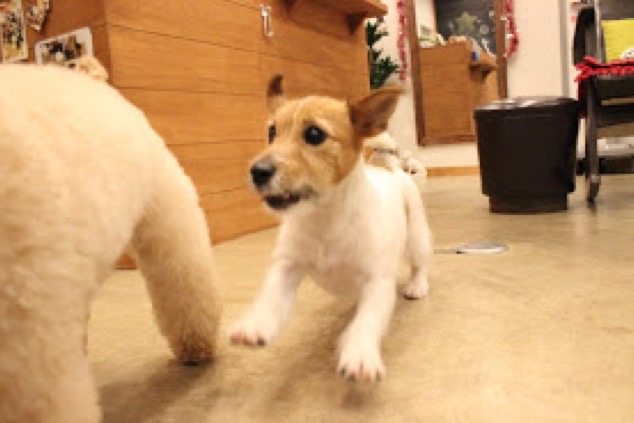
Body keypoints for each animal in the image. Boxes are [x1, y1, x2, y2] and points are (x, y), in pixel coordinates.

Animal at [229, 76, 432, 382]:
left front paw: (359, 352)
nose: (257, 171)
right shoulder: (287, 267)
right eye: (272, 132)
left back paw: (417, 285)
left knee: (420, 263)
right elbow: (272, 298)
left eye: (314, 134)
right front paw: (255, 324)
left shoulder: (377, 282)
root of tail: (390, 169)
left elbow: (367, 321)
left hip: (417, 236)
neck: (324, 218)